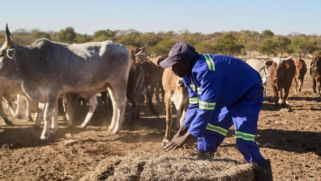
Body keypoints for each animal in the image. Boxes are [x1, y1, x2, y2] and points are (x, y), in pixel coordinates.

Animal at [0, 24, 130, 140]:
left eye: (1, 54)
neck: (36, 59)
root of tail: (123, 48)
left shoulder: (52, 92)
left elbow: (48, 114)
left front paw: (44, 134)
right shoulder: (47, 94)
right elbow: (50, 111)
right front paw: (53, 130)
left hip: (118, 83)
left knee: (121, 103)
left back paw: (116, 129)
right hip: (110, 86)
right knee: (115, 104)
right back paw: (111, 127)